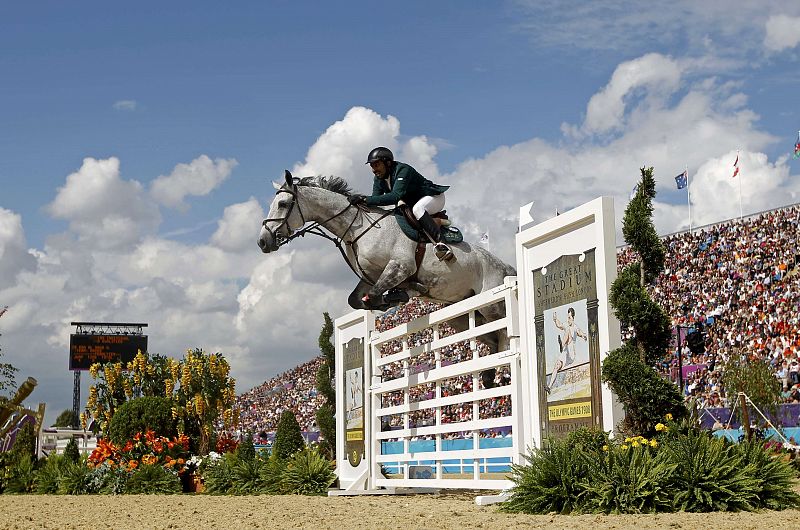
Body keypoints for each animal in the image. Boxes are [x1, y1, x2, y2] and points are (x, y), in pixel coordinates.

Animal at [258, 171, 520, 360]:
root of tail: (507, 267)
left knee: (503, 332)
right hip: (462, 312)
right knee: (492, 338)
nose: (263, 242)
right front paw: (397, 297)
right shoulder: (371, 276)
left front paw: (400, 295)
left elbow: (376, 295)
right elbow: (358, 300)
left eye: (283, 204)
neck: (358, 227)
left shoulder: (400, 267)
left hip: (492, 304)